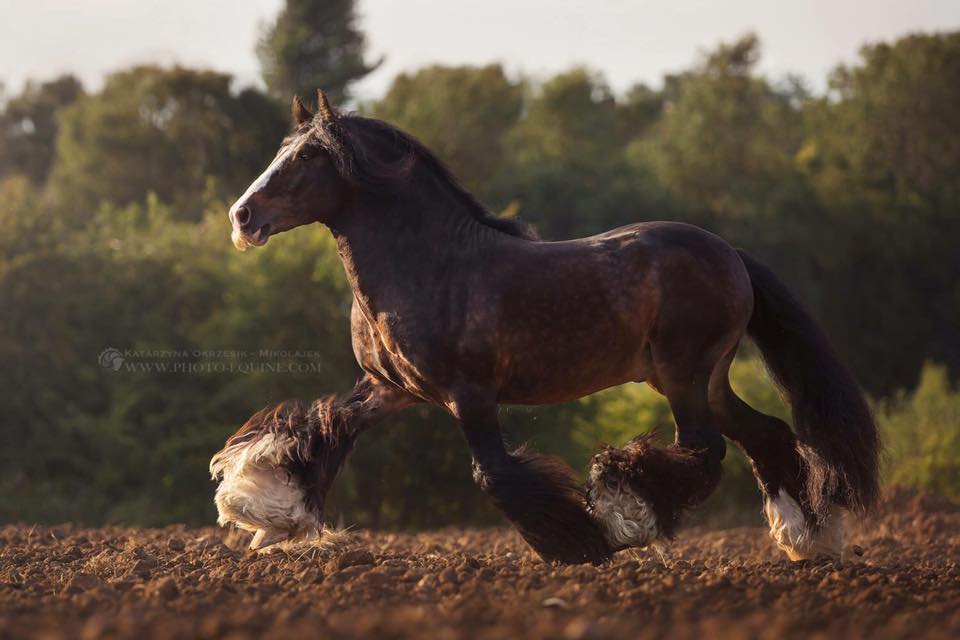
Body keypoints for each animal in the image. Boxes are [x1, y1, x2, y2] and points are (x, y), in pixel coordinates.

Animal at [208, 91, 876, 564]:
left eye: (307, 156)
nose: (242, 216)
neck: (429, 263)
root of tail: (729, 252)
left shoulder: (469, 394)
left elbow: (493, 473)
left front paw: (580, 542)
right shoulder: (392, 389)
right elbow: (324, 428)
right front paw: (264, 514)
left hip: (684, 371)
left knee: (704, 447)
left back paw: (628, 514)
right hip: (698, 377)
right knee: (765, 435)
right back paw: (808, 540)